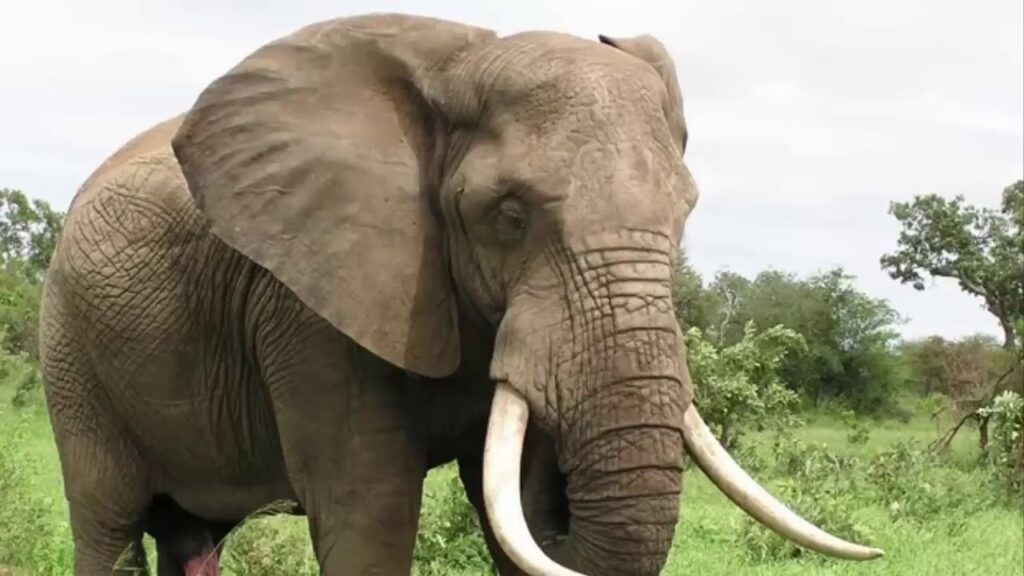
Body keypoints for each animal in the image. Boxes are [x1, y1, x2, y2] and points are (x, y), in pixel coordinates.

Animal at [39, 12, 883, 576]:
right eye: (507, 216)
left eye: (685, 215)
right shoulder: (307, 301)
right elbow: (371, 507)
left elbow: (516, 510)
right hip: (70, 350)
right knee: (108, 523)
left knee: (190, 538)